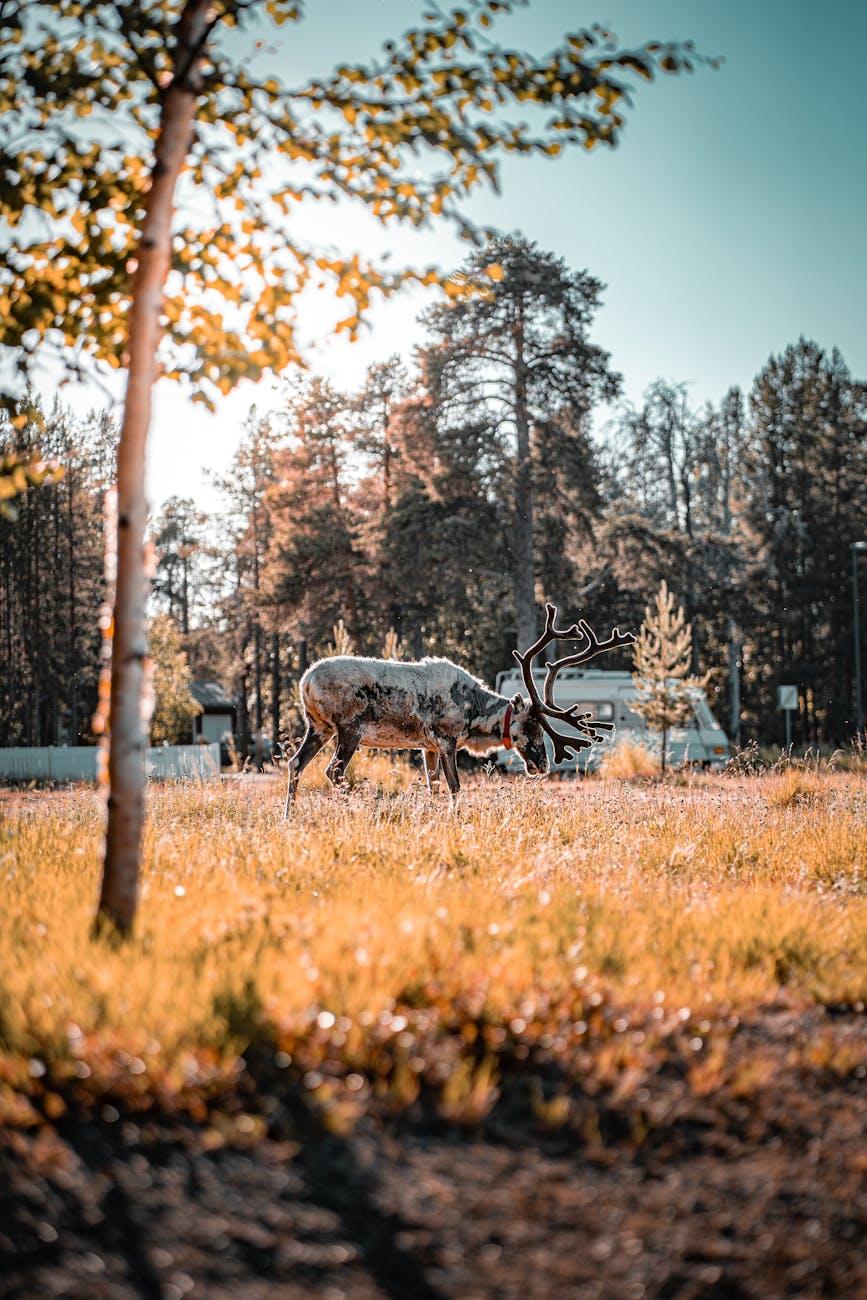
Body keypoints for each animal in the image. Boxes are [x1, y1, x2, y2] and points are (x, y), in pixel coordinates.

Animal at [283, 604, 635, 815]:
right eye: (531, 726)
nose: (542, 764)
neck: (473, 714)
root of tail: (305, 681)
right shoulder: (446, 739)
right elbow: (455, 786)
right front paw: (455, 817)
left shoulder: (426, 746)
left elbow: (433, 785)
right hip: (349, 728)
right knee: (334, 770)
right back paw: (354, 810)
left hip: (318, 727)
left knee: (295, 762)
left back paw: (290, 816)